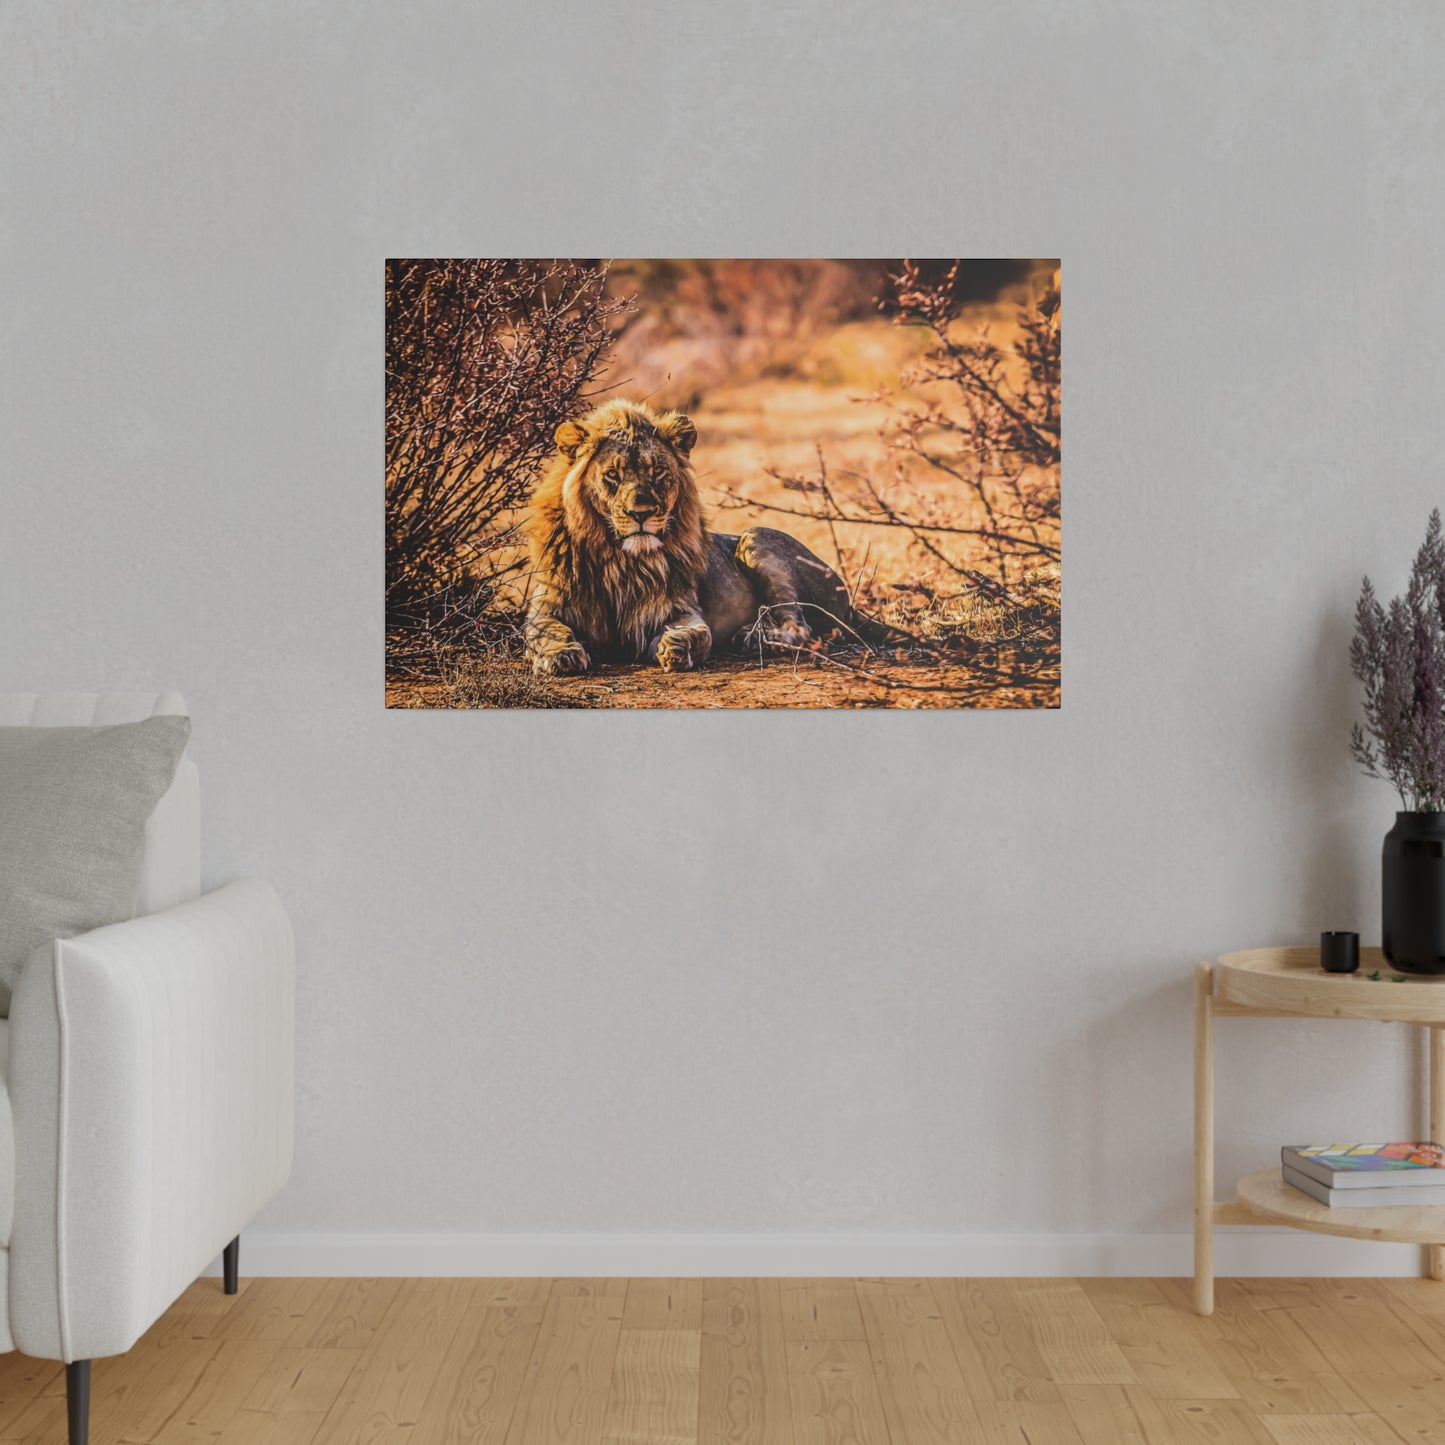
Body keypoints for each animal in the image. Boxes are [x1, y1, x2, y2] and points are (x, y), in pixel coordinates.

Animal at [520, 398, 901, 673]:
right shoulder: (547, 606)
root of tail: (848, 601)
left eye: (659, 472)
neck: (619, 559)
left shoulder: (676, 609)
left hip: (755, 538)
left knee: (800, 629)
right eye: (613, 475)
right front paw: (561, 655)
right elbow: (544, 631)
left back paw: (752, 637)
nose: (641, 514)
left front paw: (676, 647)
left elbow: (697, 633)